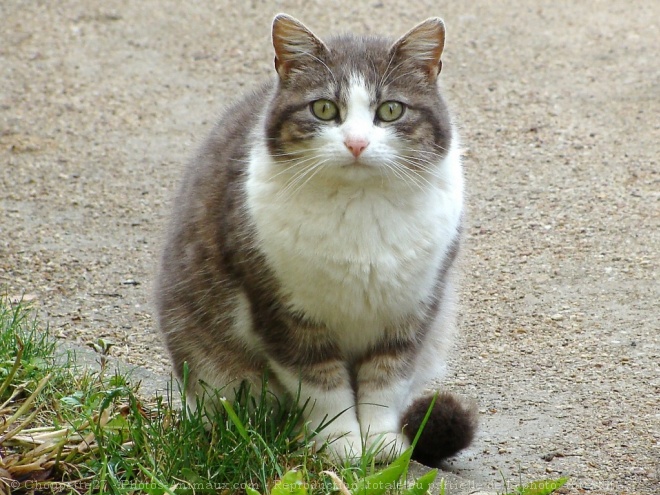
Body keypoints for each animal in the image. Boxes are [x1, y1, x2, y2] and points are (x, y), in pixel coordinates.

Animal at [155, 13, 474, 466]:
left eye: (390, 110)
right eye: (324, 108)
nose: (356, 143)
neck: (360, 211)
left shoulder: (412, 310)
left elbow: (386, 380)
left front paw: (380, 441)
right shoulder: (283, 312)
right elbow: (322, 387)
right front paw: (342, 444)